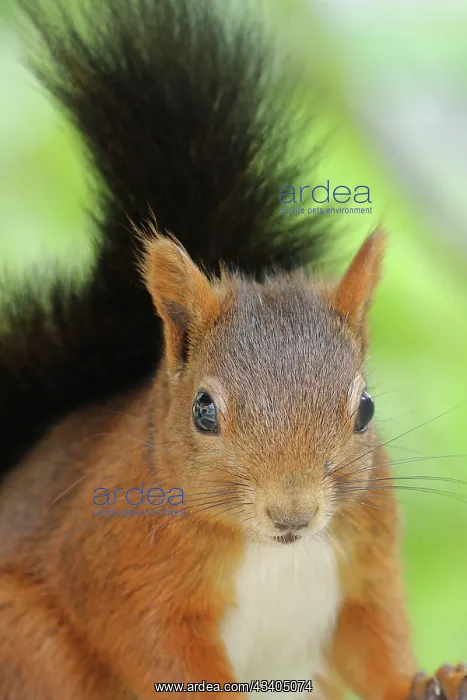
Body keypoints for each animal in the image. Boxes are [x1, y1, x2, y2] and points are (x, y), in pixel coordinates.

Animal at [0, 0, 465, 699]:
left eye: (365, 411)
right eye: (203, 410)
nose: (292, 513)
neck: (274, 551)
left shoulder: (365, 567)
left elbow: (375, 642)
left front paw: (428, 679)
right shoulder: (121, 569)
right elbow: (158, 648)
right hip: (28, 641)